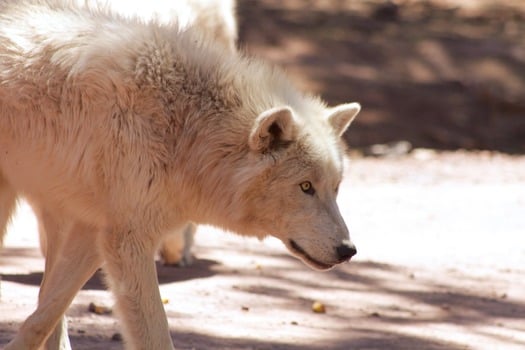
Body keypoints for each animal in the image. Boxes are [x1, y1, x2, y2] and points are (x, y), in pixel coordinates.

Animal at [0, 1, 358, 348]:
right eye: (306, 186)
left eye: (335, 188)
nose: (348, 250)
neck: (185, 130)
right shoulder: (127, 241)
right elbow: (154, 333)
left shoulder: (95, 228)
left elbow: (45, 312)